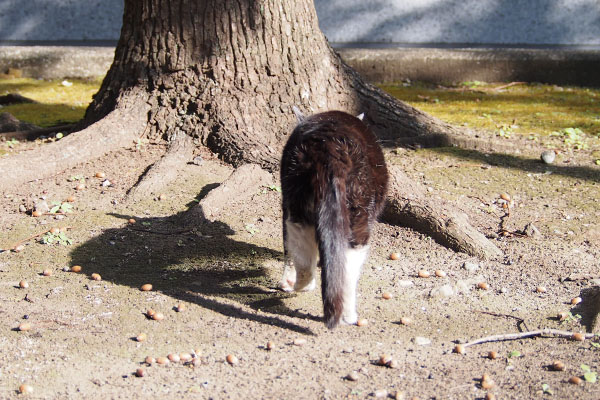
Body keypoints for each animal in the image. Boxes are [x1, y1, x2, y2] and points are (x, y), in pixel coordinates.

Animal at [278, 109, 390, 328]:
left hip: (296, 196)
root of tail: (330, 147)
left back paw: (300, 285)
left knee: (300, 245)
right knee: (348, 264)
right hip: (360, 209)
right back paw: (346, 314)